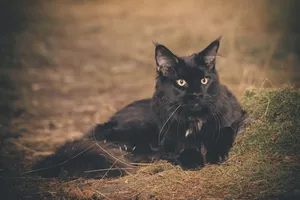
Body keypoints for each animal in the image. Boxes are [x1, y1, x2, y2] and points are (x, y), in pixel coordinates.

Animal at [32, 37, 245, 178]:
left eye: (204, 80)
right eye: (181, 82)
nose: (196, 95)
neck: (194, 120)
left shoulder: (235, 117)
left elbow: (224, 133)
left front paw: (216, 155)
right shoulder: (169, 139)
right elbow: (184, 148)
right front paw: (192, 160)